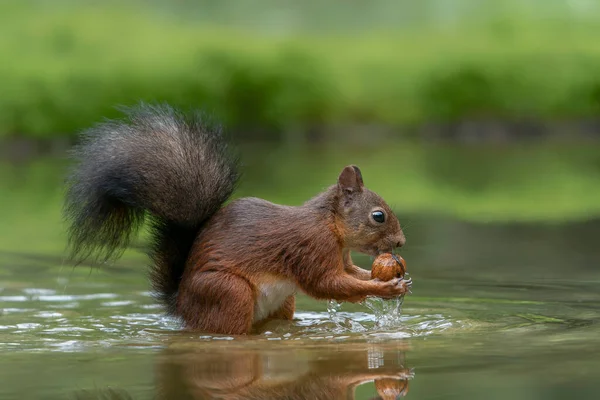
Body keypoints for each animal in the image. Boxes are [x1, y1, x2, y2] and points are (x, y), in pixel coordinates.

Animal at [64, 103, 412, 334]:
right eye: (378, 216)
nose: (401, 242)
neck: (330, 224)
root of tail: (181, 306)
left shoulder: (341, 255)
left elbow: (351, 273)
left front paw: (397, 279)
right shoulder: (310, 246)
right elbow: (328, 283)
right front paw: (385, 288)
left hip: (281, 303)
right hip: (227, 292)